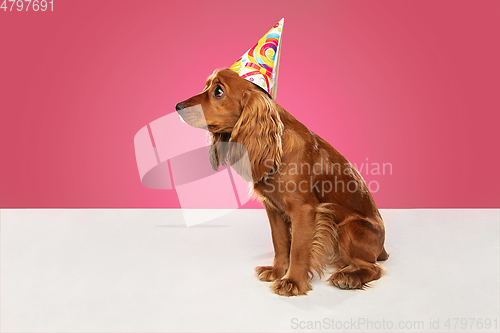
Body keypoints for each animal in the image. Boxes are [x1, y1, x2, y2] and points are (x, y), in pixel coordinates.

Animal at [178, 68, 388, 296]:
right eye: (206, 85)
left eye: (218, 91)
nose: (177, 107)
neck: (277, 147)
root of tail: (383, 248)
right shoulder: (274, 209)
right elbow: (280, 243)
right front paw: (277, 271)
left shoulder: (304, 210)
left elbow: (297, 249)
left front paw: (292, 282)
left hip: (349, 229)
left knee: (373, 267)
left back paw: (349, 277)